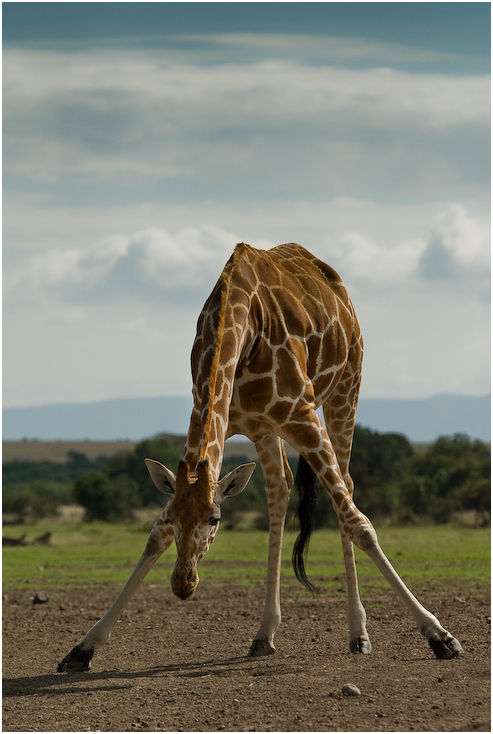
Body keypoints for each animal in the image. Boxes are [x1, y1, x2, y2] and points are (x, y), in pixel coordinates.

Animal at [58, 244, 462, 676]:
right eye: (173, 517)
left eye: (215, 520)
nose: (183, 584)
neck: (237, 327)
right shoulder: (211, 417)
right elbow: (154, 537)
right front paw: (82, 648)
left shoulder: (300, 414)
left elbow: (361, 524)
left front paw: (440, 636)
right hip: (268, 429)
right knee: (280, 488)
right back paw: (265, 634)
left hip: (345, 388)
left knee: (346, 489)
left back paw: (359, 634)